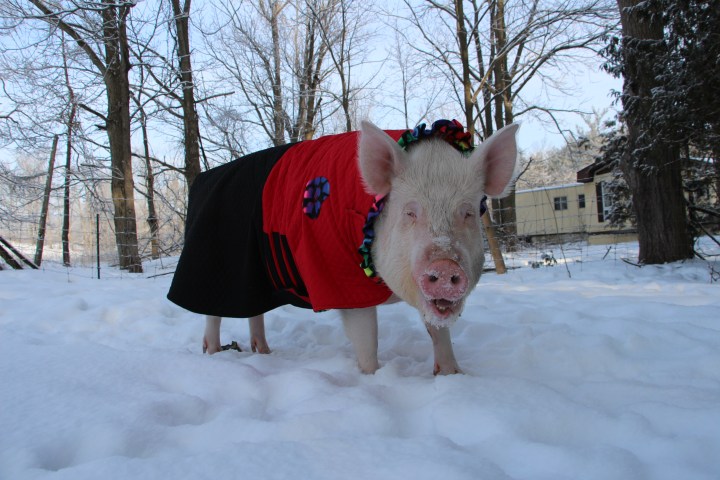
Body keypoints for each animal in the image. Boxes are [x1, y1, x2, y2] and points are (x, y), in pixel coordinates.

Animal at [167, 119, 518, 375]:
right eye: (410, 212)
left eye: (468, 213)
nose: (445, 266)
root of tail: (201, 180)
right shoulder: (342, 282)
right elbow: (367, 339)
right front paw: (373, 378)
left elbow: (439, 331)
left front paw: (450, 375)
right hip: (212, 259)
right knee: (212, 313)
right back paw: (213, 353)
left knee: (255, 312)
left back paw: (264, 352)